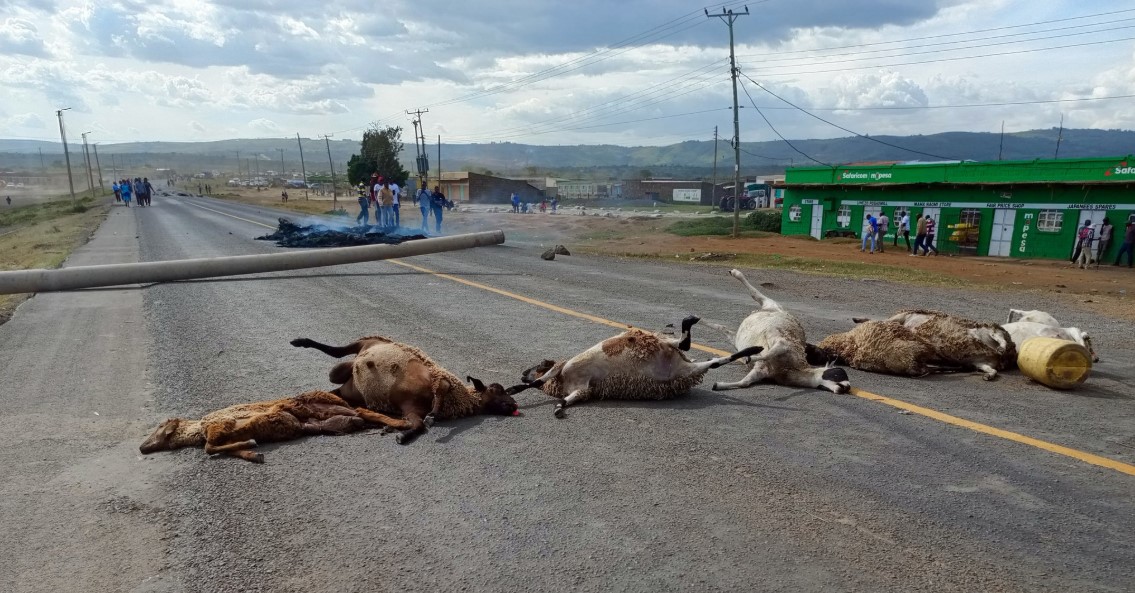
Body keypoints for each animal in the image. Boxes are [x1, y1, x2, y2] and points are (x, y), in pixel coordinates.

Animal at [137, 390, 406, 458]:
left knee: (362, 410)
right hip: (334, 423)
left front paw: (251, 445)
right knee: (359, 418)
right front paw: (251, 452)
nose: (141, 447)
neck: (196, 430)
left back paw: (399, 424)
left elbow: (209, 447)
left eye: (159, 428)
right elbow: (218, 448)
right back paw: (386, 427)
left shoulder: (220, 424)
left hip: (325, 405)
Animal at [292, 333, 522, 440]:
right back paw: (301, 342)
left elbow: (417, 424)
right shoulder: (434, 377)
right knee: (338, 353)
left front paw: (403, 434)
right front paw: (431, 417)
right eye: (495, 389)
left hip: (348, 386)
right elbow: (443, 387)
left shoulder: (410, 408)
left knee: (337, 380)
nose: (513, 404)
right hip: (362, 343)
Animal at [515, 315, 762, 418]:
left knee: (683, 343)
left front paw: (514, 389)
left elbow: (535, 382)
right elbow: (565, 400)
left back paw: (691, 320)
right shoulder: (581, 390)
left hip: (658, 343)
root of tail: (680, 365)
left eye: (537, 364)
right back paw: (753, 350)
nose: (522, 374)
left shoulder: (561, 370)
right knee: (713, 362)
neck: (563, 381)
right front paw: (558, 409)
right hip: (682, 367)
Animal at [703, 270, 848, 395]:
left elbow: (745, 383)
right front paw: (750, 357)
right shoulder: (782, 344)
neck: (790, 368)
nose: (844, 388)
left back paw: (698, 319)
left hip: (736, 338)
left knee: (723, 328)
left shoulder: (761, 371)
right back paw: (735, 273)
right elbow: (767, 354)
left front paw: (719, 385)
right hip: (772, 304)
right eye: (838, 373)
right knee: (755, 294)